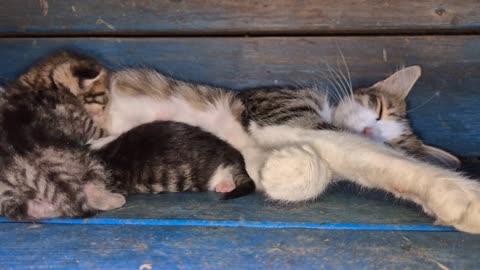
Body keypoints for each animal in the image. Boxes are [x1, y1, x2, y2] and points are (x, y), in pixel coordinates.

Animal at [0, 51, 125, 220]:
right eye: (103, 100)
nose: (104, 111)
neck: (40, 83)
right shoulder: (85, 124)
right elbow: (105, 131)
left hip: (6, 194)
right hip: (91, 161)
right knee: (91, 191)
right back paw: (116, 199)